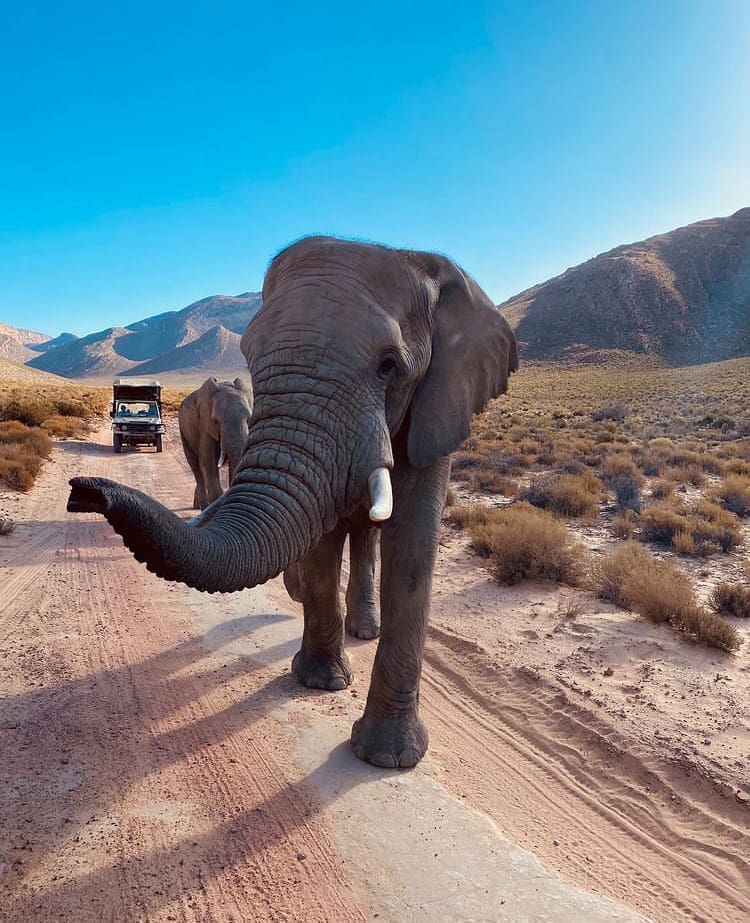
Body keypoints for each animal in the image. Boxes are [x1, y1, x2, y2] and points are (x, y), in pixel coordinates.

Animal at [178, 377, 253, 510]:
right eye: (216, 421)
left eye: (249, 418)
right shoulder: (204, 424)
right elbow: (209, 463)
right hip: (183, 432)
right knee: (195, 467)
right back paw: (202, 506)